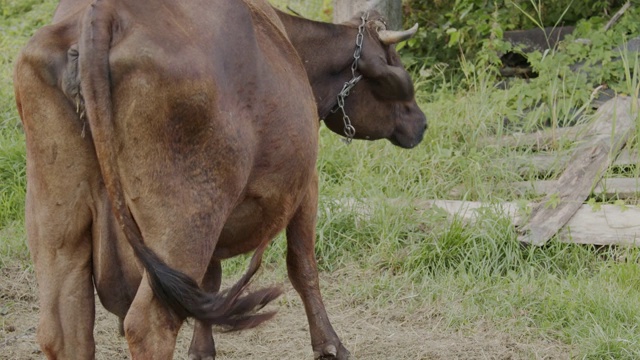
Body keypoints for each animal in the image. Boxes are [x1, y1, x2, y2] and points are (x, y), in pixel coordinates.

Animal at [13, 0, 424, 360]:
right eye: (395, 63)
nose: (421, 122)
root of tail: (104, 13)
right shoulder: (307, 186)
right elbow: (303, 266)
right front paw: (330, 345)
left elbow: (209, 282)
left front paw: (201, 349)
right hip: (185, 219)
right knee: (148, 326)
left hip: (56, 222)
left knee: (63, 329)